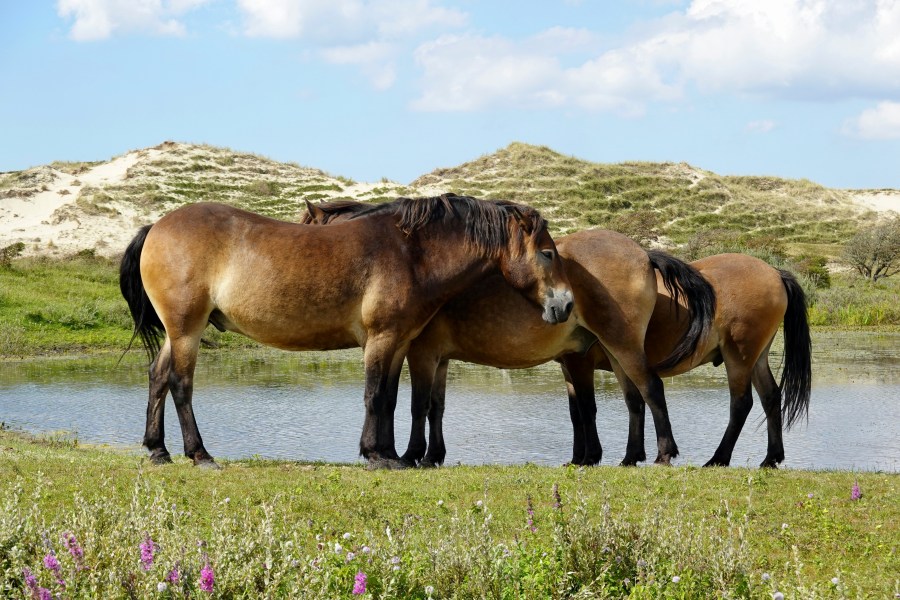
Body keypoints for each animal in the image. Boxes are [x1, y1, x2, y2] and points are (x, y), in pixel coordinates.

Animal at [119, 195, 574, 469]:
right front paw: (374, 453)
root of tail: (156, 227)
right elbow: (374, 395)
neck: (411, 253)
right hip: (187, 330)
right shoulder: (380, 339)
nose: (565, 304)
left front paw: (391, 454)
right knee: (180, 383)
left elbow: (390, 398)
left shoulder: (399, 342)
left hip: (177, 332)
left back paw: (157, 450)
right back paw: (199, 454)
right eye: (547, 253)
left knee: (157, 377)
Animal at [302, 200, 717, 467]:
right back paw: (629, 457)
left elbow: (418, 405)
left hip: (623, 346)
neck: (420, 264)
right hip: (614, 352)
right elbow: (437, 407)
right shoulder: (439, 359)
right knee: (634, 400)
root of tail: (643, 254)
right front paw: (433, 456)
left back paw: (664, 453)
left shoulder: (422, 354)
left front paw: (412, 454)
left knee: (651, 389)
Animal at [563, 252, 812, 468]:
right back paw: (771, 458)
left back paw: (718, 458)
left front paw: (588, 457)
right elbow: (576, 413)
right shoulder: (570, 369)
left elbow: (585, 409)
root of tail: (775, 273)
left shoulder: (579, 363)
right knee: (770, 396)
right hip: (757, 359)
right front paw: (577, 458)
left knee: (741, 403)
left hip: (739, 358)